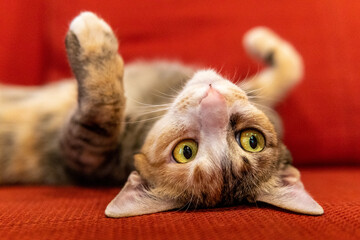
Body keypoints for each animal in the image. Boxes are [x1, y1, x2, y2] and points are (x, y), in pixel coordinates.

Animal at [0, 11, 324, 218]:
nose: (213, 101)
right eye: (252, 140)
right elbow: (292, 68)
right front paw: (261, 41)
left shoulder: (83, 154)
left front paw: (92, 38)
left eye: (184, 151)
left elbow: (102, 114)